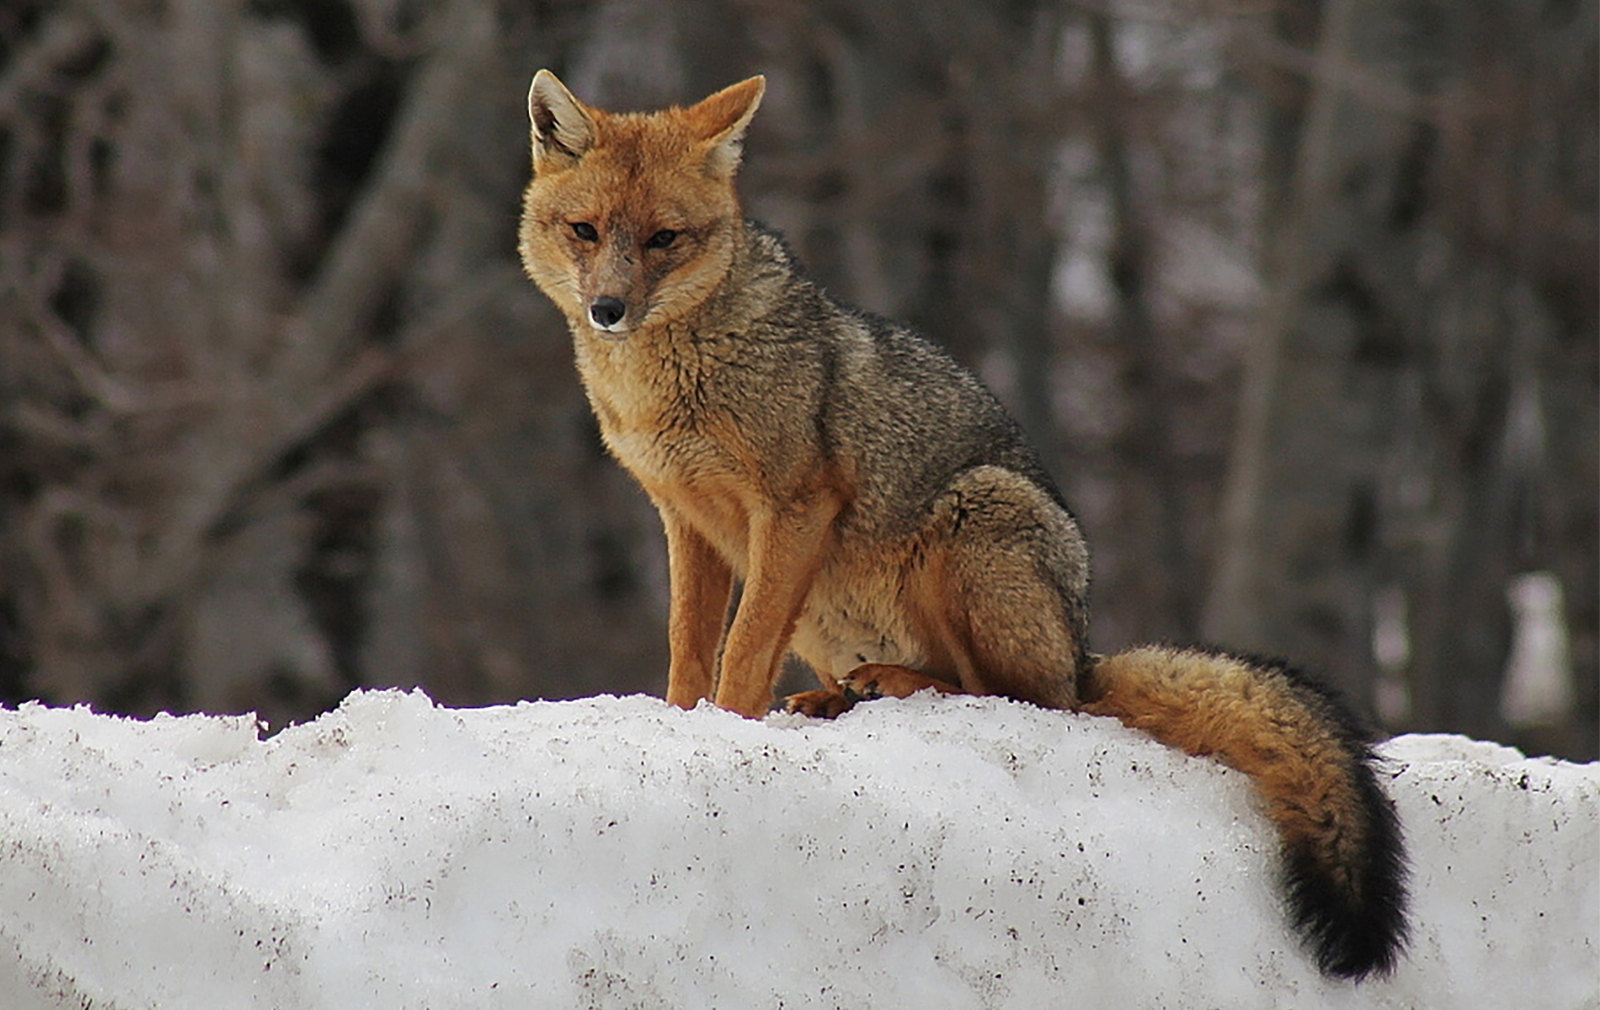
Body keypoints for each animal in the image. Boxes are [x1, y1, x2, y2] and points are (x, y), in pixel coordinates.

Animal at [517, 70, 1409, 980]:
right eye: (586, 231)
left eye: (664, 239)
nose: (608, 309)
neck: (662, 386)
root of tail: (1085, 652)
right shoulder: (687, 519)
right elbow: (690, 647)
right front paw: (680, 726)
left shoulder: (795, 506)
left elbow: (742, 649)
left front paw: (727, 733)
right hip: (834, 614)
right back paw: (841, 697)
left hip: (972, 520)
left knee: (1020, 700)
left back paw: (895, 687)